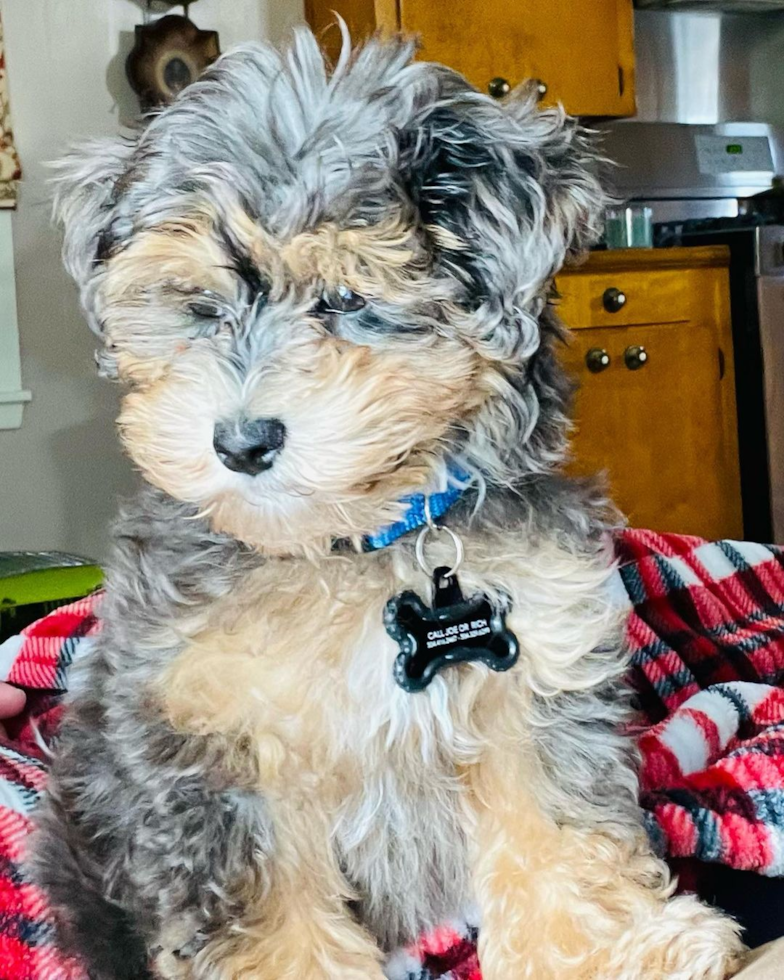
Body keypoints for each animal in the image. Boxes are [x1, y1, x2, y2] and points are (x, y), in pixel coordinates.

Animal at [33, 26, 744, 976]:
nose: (241, 443)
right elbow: (270, 913)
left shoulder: (538, 665)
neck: (359, 542)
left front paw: (608, 947)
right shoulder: (214, 734)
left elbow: (556, 824)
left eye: (347, 300)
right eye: (200, 308)